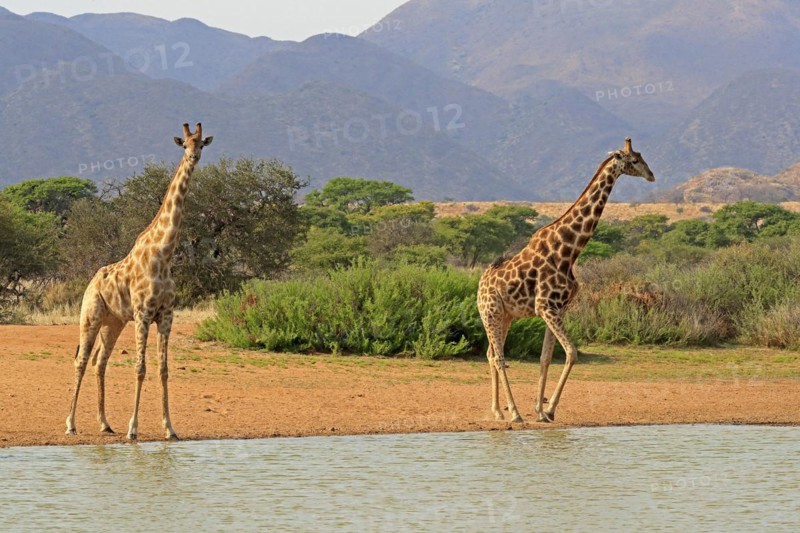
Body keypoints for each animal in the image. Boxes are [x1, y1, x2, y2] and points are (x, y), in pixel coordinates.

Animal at [65, 122, 213, 440]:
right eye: (185, 144)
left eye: (202, 145)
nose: (193, 157)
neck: (163, 254)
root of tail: (91, 282)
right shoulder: (143, 313)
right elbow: (140, 367)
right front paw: (133, 429)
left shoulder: (166, 315)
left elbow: (163, 369)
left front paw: (170, 429)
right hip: (91, 315)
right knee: (81, 360)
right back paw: (70, 424)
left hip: (114, 322)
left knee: (100, 362)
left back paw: (105, 423)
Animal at [477, 138, 655, 423]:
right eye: (635, 160)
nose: (651, 176)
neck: (569, 251)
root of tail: (480, 285)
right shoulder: (546, 307)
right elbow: (572, 352)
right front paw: (548, 409)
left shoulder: (558, 309)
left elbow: (546, 357)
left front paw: (540, 410)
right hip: (489, 312)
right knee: (499, 357)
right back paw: (513, 413)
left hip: (506, 316)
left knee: (491, 354)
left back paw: (498, 411)